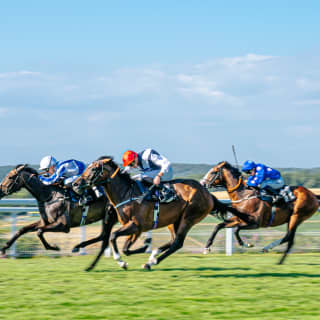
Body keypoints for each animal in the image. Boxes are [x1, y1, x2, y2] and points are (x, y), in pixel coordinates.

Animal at [72, 156, 250, 272]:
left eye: (93, 168)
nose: (75, 183)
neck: (126, 193)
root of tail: (207, 193)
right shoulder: (136, 229)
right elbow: (125, 247)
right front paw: (142, 249)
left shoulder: (135, 226)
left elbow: (114, 237)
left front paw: (122, 262)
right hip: (174, 221)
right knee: (173, 240)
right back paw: (153, 257)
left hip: (189, 217)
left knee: (177, 243)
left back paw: (153, 261)